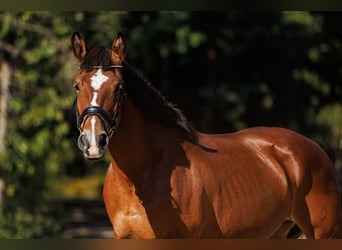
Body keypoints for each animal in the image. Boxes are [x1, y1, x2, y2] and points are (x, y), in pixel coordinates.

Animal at [71, 31, 342, 238]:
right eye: (76, 85)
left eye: (119, 87)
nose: (93, 141)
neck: (141, 173)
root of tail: (315, 149)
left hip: (324, 233)